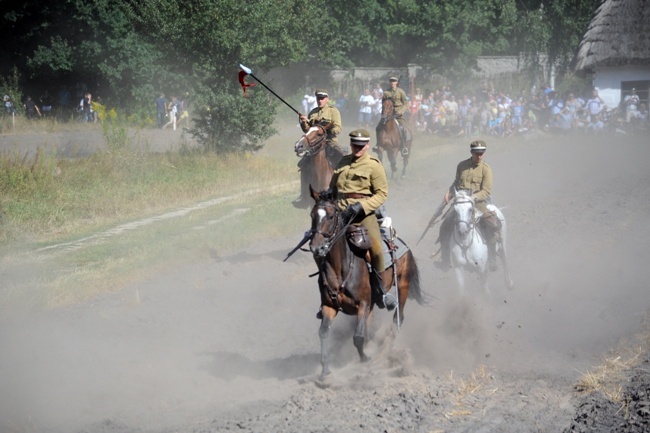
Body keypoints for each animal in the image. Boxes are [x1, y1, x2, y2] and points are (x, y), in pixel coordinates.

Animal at [308, 187, 428, 376]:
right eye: (312, 215)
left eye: (331, 216)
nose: (316, 248)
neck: (340, 270)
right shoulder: (329, 307)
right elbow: (323, 333)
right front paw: (325, 369)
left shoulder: (363, 304)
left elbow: (357, 337)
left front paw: (365, 358)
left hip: (403, 285)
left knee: (398, 316)